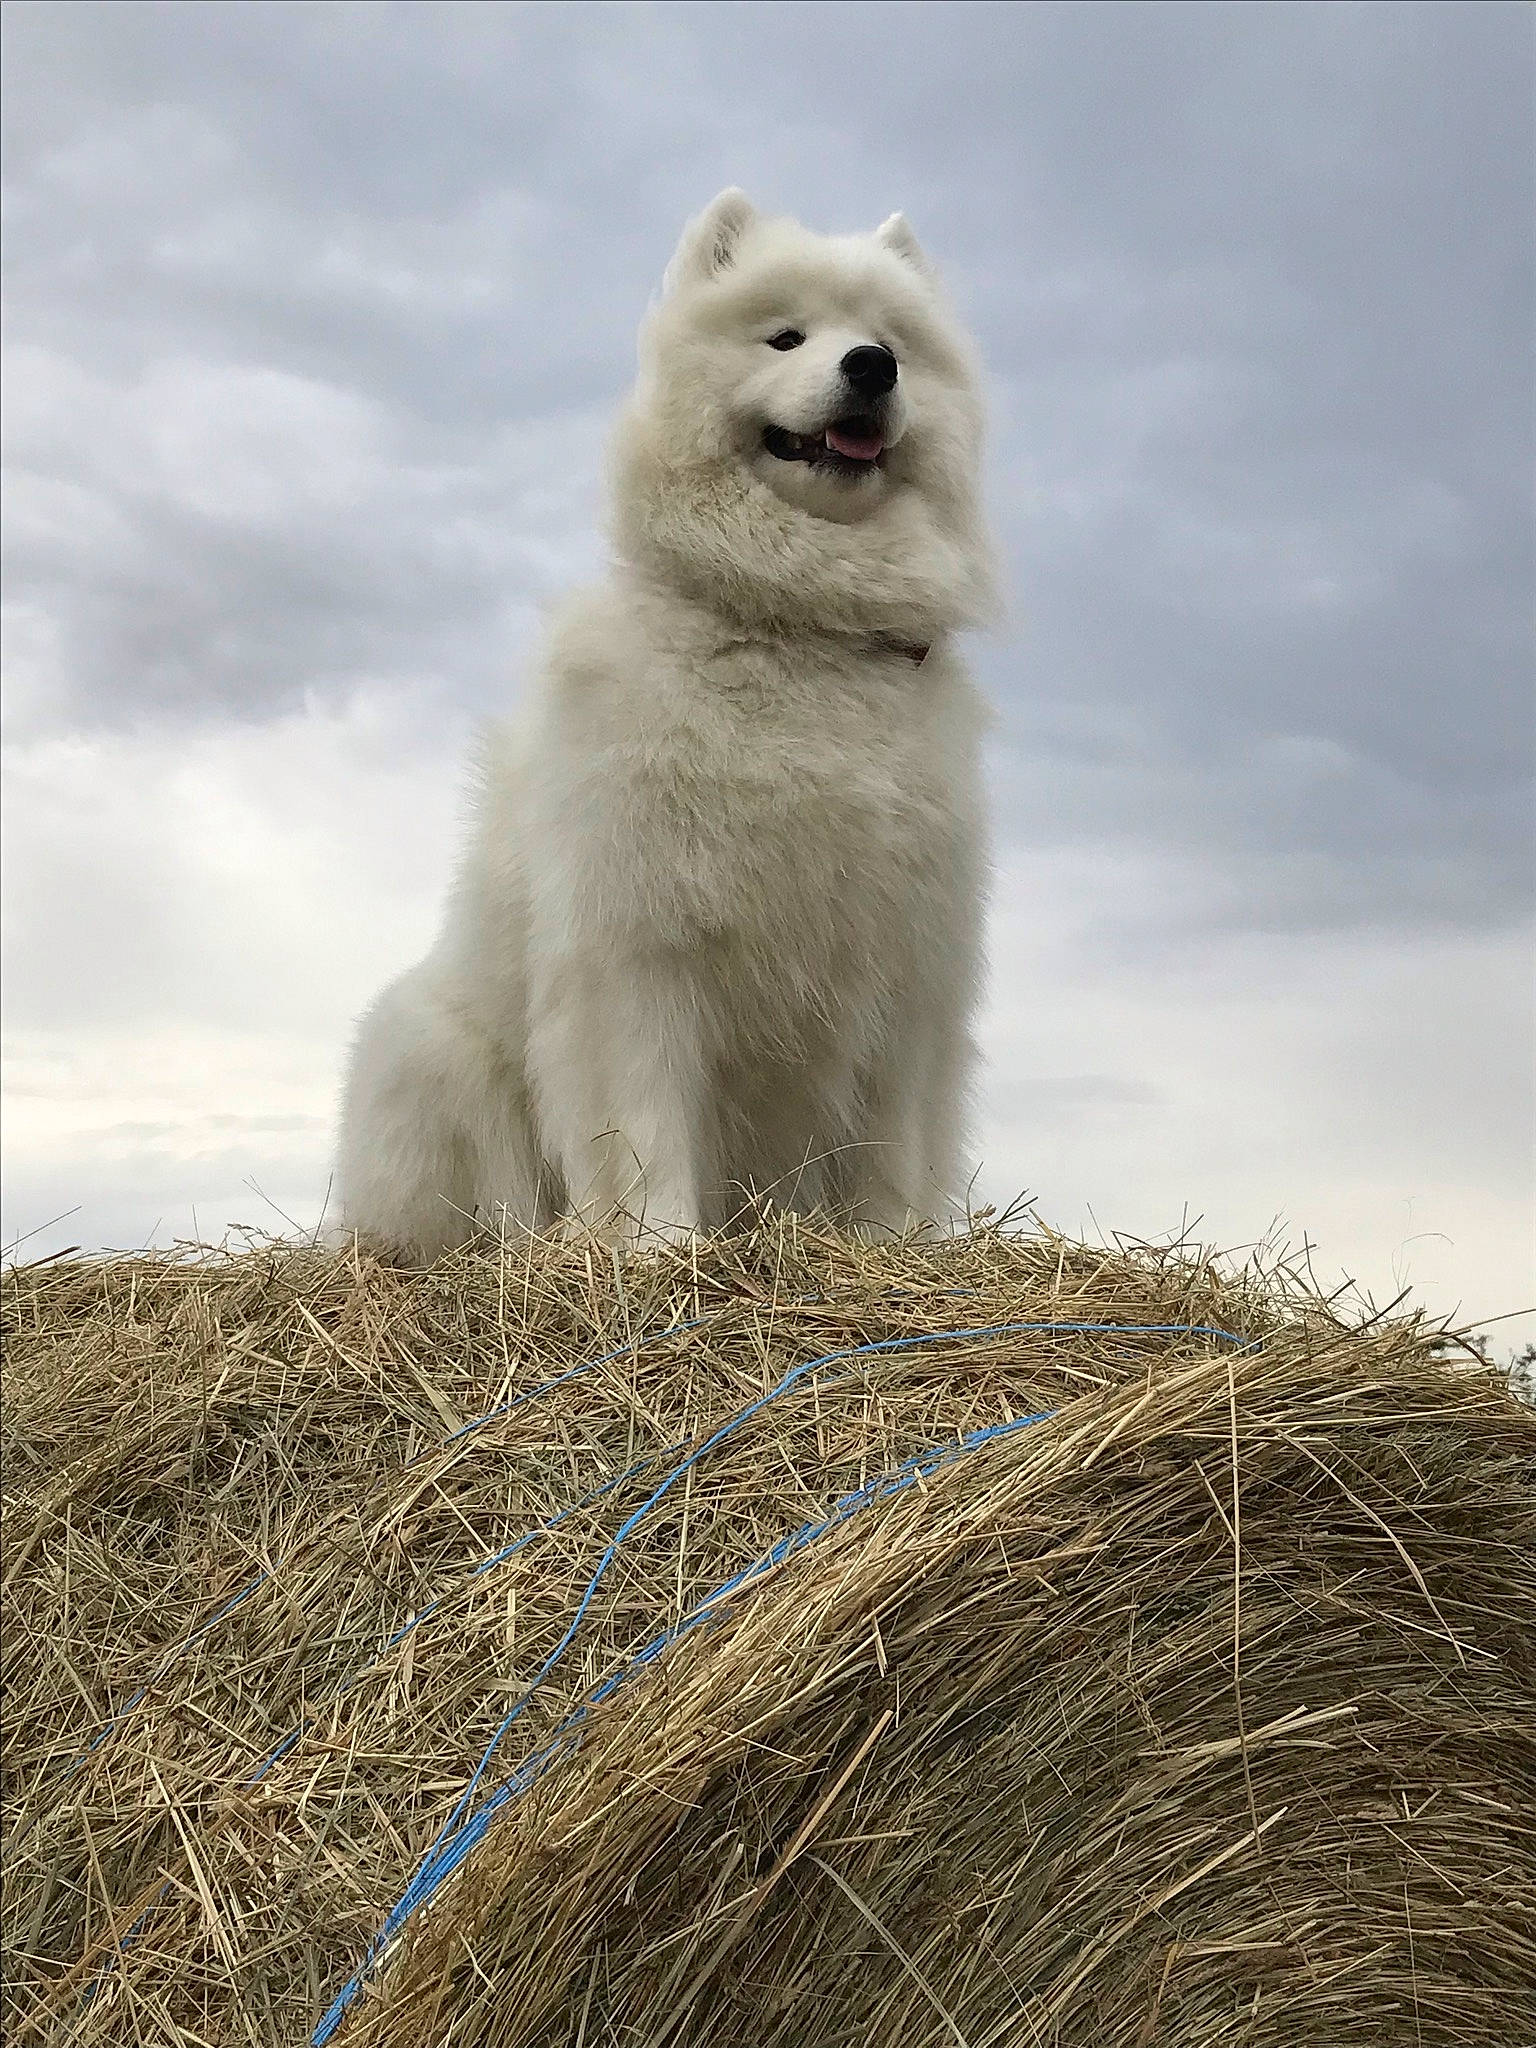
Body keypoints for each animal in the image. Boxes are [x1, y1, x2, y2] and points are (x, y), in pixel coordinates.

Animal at [335, 189, 996, 1259]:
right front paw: (661, 1247)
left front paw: (887, 1253)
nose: (871, 367)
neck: (794, 629)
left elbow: (889, 1148)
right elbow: (647, 1125)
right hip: (426, 1047)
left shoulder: (903, 963)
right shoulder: (638, 950)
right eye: (784, 337)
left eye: (891, 342)